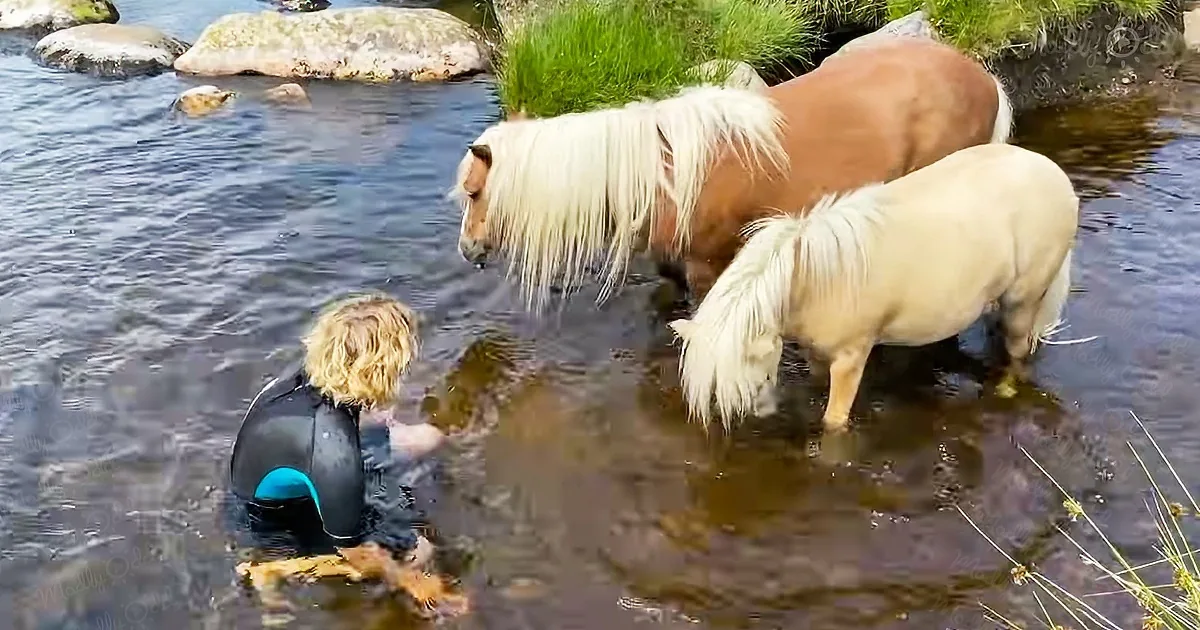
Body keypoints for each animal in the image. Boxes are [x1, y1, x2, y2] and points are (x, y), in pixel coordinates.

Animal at [450, 37, 1014, 312]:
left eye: (475, 193)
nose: (467, 249)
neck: (664, 173)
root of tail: (985, 80)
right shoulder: (674, 268)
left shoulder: (707, 269)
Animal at [667, 143, 1081, 434]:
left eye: (758, 376)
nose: (761, 412)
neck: (810, 278)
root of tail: (1053, 172)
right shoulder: (817, 353)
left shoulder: (852, 356)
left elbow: (834, 420)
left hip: (1025, 298)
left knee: (1019, 350)